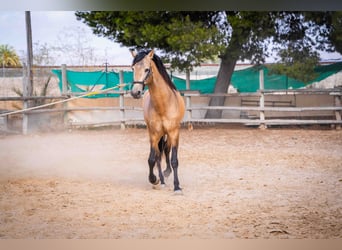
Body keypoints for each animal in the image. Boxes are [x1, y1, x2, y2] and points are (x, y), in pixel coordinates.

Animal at [130, 48, 186, 193]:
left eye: (147, 69)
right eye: (132, 68)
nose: (135, 92)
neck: (163, 105)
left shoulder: (174, 133)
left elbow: (174, 160)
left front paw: (177, 186)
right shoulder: (154, 134)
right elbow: (152, 159)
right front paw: (154, 180)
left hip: (167, 135)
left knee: (166, 150)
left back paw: (166, 173)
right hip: (155, 134)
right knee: (158, 156)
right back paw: (161, 180)